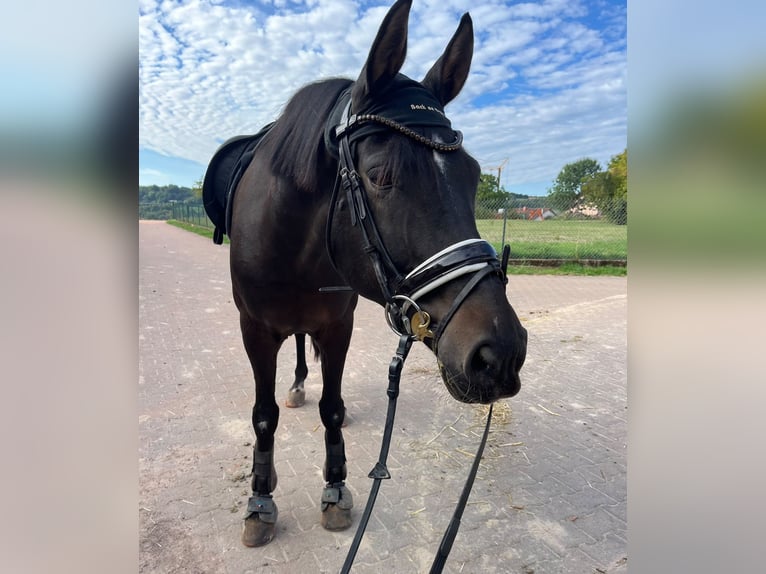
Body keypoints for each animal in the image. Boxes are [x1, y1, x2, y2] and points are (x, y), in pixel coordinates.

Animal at [208, 0, 527, 548]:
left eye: (473, 175)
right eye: (380, 175)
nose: (500, 353)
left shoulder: (339, 325)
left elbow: (332, 407)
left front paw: (335, 488)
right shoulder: (254, 330)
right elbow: (264, 417)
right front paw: (260, 498)